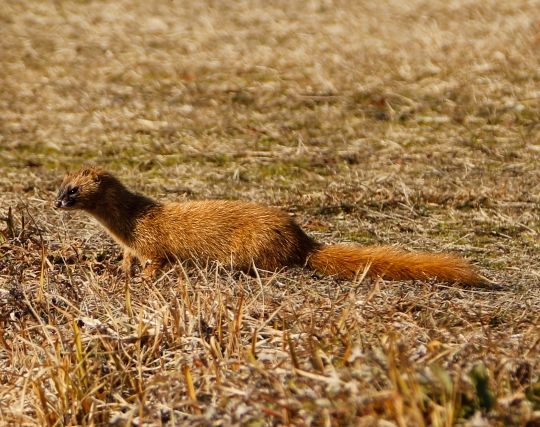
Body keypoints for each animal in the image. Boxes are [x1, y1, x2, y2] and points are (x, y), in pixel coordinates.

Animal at [54, 166, 490, 284]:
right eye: (57, 186)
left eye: (72, 191)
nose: (56, 203)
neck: (126, 224)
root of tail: (303, 240)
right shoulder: (128, 245)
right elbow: (126, 260)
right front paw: (119, 272)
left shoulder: (152, 245)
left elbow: (155, 263)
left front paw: (145, 280)